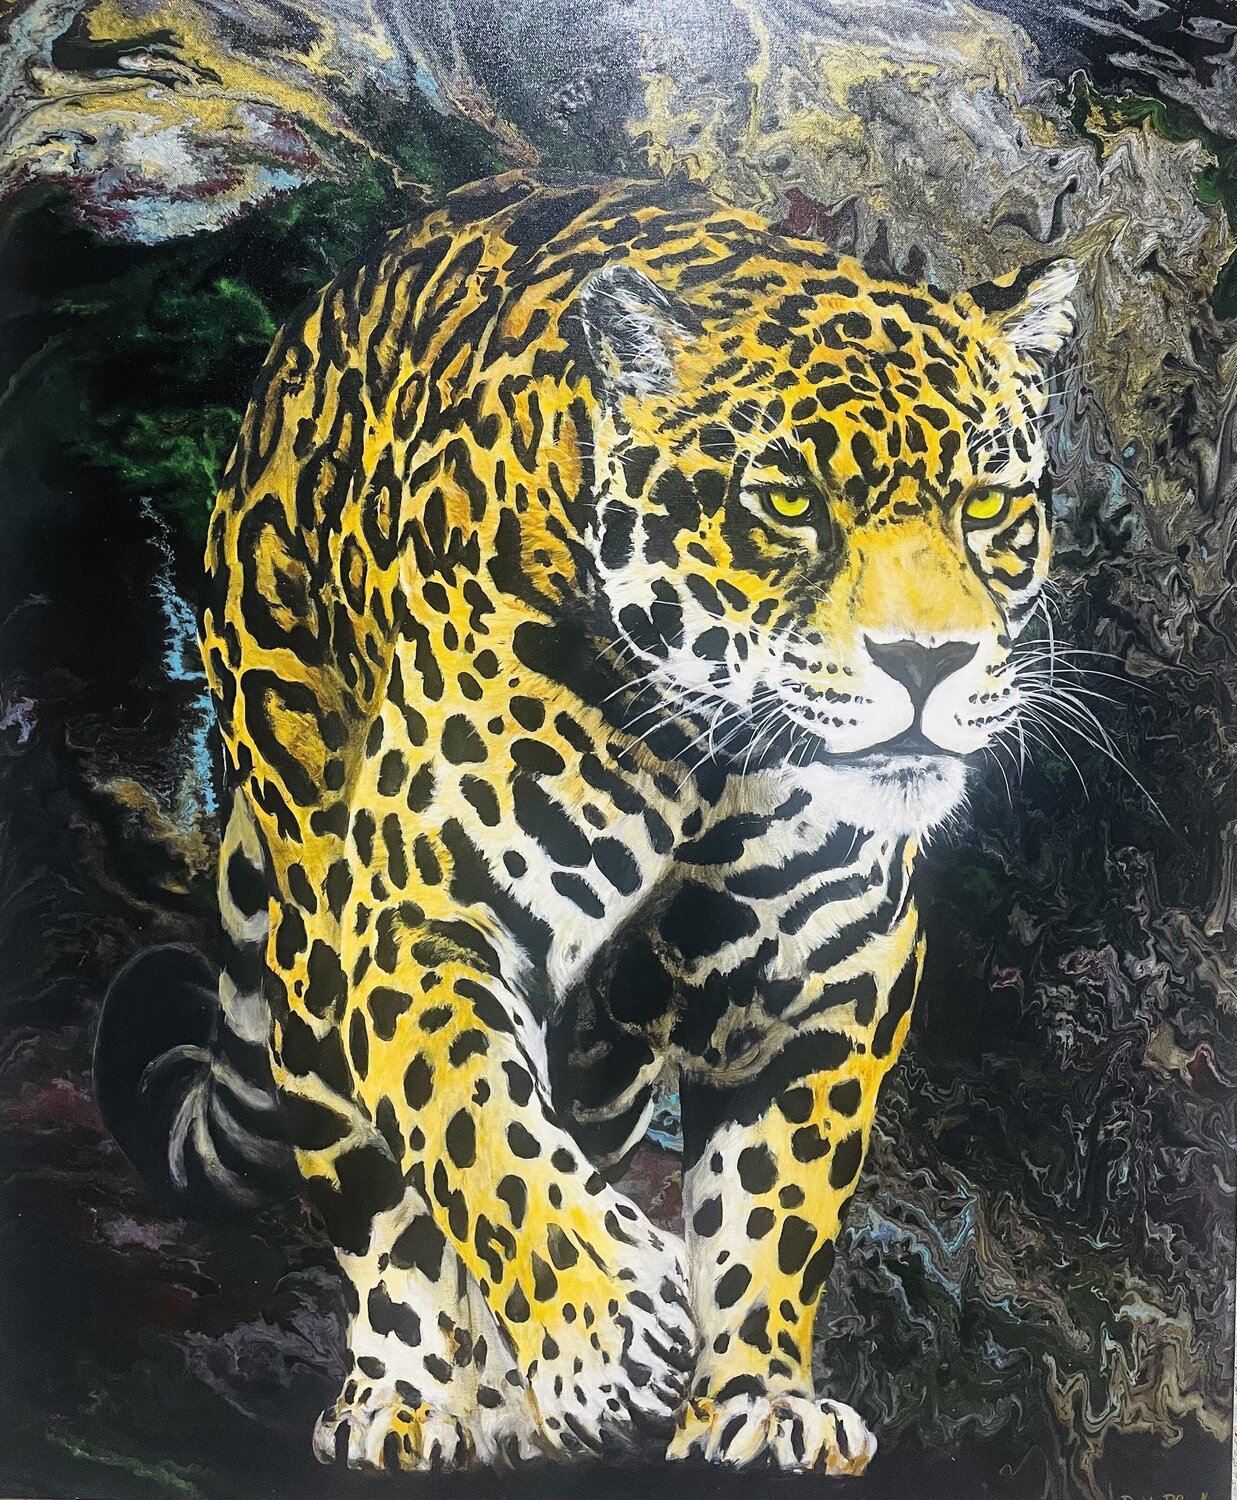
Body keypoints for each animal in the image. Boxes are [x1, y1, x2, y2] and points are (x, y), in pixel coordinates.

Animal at [94, 170, 1076, 1477]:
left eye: (989, 506)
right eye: (785, 502)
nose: (931, 661)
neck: (715, 762)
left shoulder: (831, 983)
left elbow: (775, 1210)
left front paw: (758, 1402)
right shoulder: (419, 921)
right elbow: (478, 1132)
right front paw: (609, 1327)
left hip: (603, 1053)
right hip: (309, 920)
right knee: (383, 1205)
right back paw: (414, 1400)